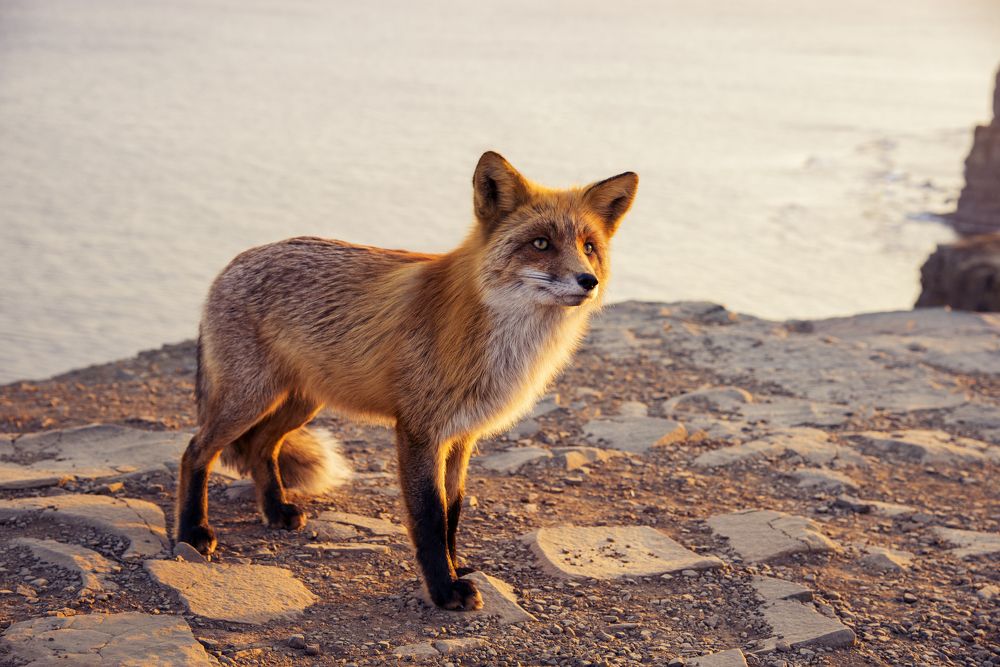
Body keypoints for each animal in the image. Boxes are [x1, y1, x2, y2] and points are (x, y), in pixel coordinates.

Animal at [175, 151, 638, 610]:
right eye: (541, 243)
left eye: (589, 247)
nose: (589, 281)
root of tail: (232, 263)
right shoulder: (419, 430)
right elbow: (430, 516)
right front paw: (444, 590)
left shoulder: (462, 436)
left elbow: (453, 511)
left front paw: (455, 567)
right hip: (250, 398)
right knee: (196, 450)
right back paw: (192, 531)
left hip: (301, 402)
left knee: (261, 447)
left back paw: (275, 510)